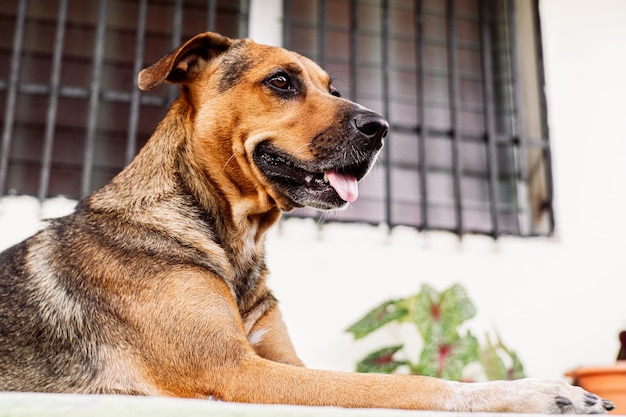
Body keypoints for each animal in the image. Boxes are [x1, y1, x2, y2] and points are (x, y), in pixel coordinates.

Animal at [0, 32, 616, 412]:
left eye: (332, 88)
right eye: (281, 82)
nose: (382, 128)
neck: (232, 235)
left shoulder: (282, 360)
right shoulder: (235, 371)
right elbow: (404, 383)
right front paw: (539, 393)